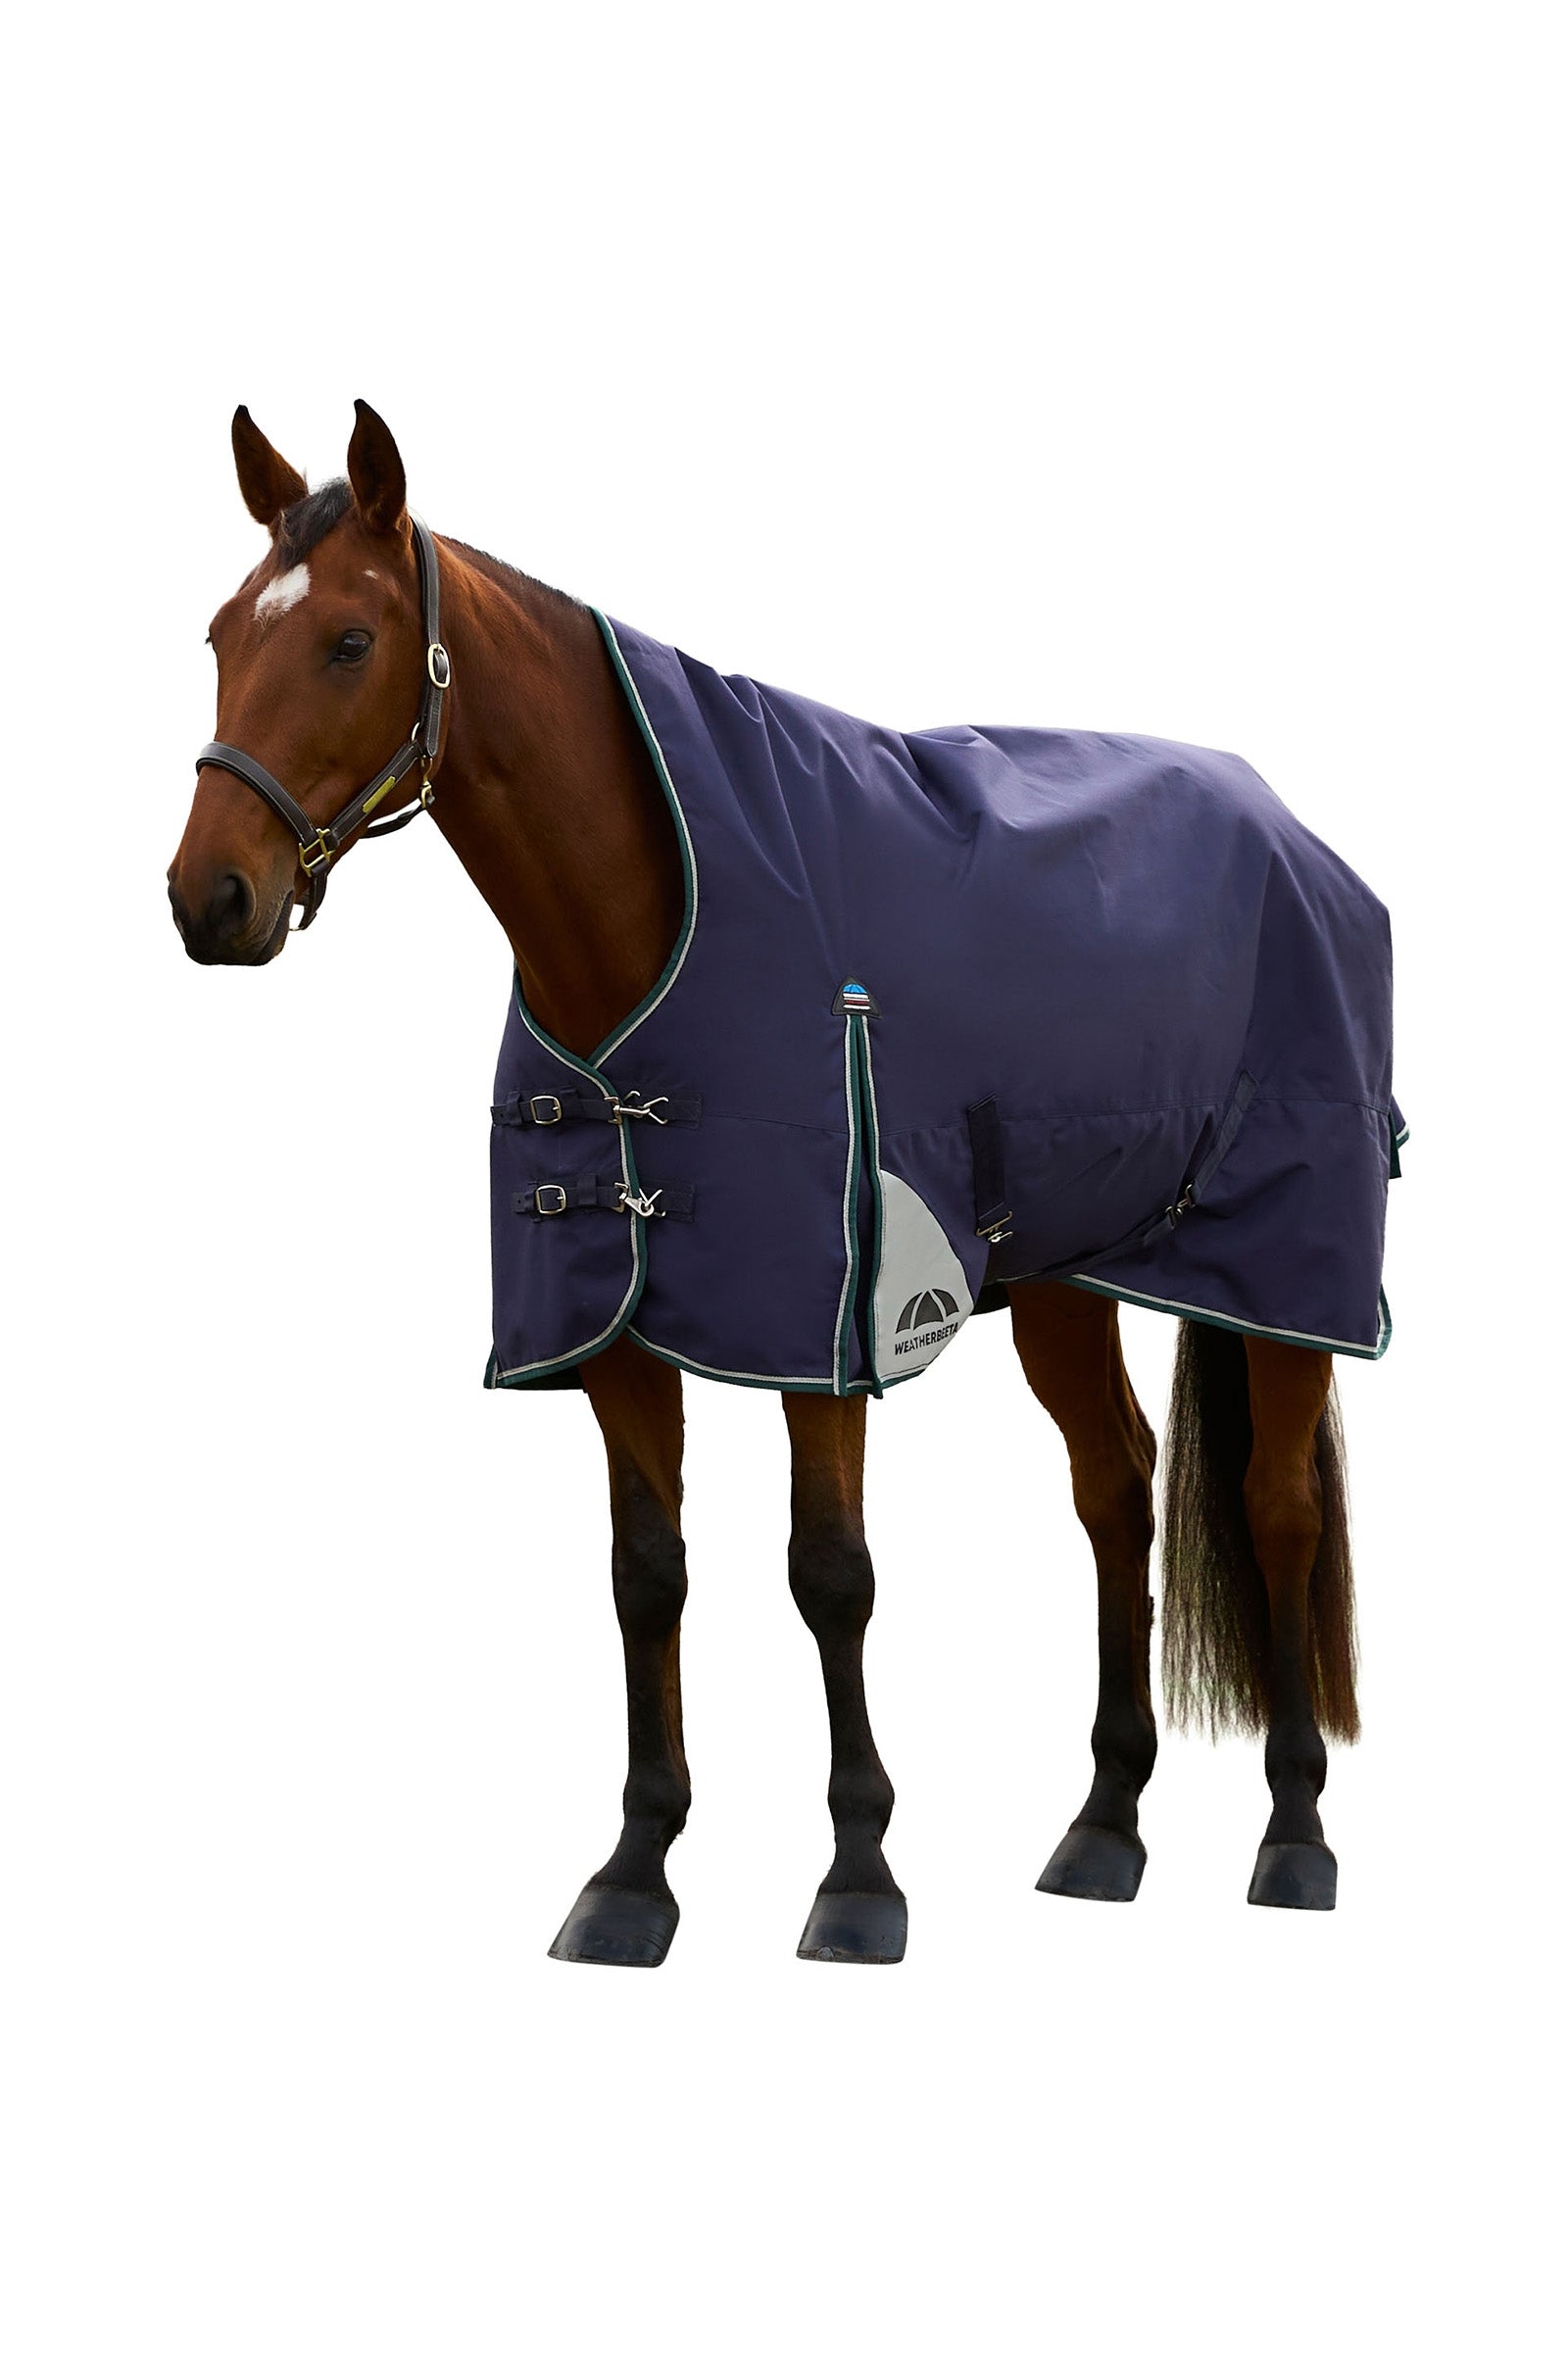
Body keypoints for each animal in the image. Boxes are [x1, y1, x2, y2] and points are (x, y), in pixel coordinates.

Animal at [169, 400, 1375, 1966]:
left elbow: (831, 1575)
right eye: (216, 636)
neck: (655, 919)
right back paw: (1104, 1830)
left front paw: (858, 1879)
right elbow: (646, 1575)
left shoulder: (828, 1323)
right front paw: (633, 1873)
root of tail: (1289, 828)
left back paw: (1295, 1836)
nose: (209, 899)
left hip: (1287, 1269)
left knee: (1278, 1507)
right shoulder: (615, 1333)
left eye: (350, 642)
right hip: (1065, 1277)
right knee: (1117, 1488)